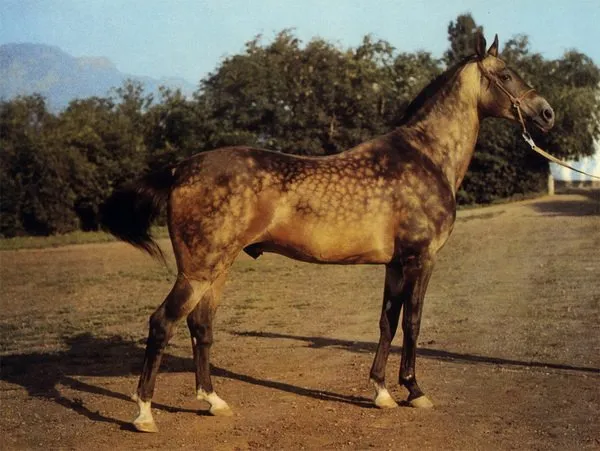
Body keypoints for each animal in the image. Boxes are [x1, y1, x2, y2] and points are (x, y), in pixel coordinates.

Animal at [101, 32, 556, 434]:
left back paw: (213, 401)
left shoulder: (395, 264)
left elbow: (388, 322)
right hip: (197, 271)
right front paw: (414, 390)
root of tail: (181, 168)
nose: (547, 113)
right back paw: (144, 414)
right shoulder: (421, 259)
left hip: (217, 270)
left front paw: (381, 392)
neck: (426, 156)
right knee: (162, 323)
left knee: (200, 327)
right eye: (507, 73)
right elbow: (413, 322)